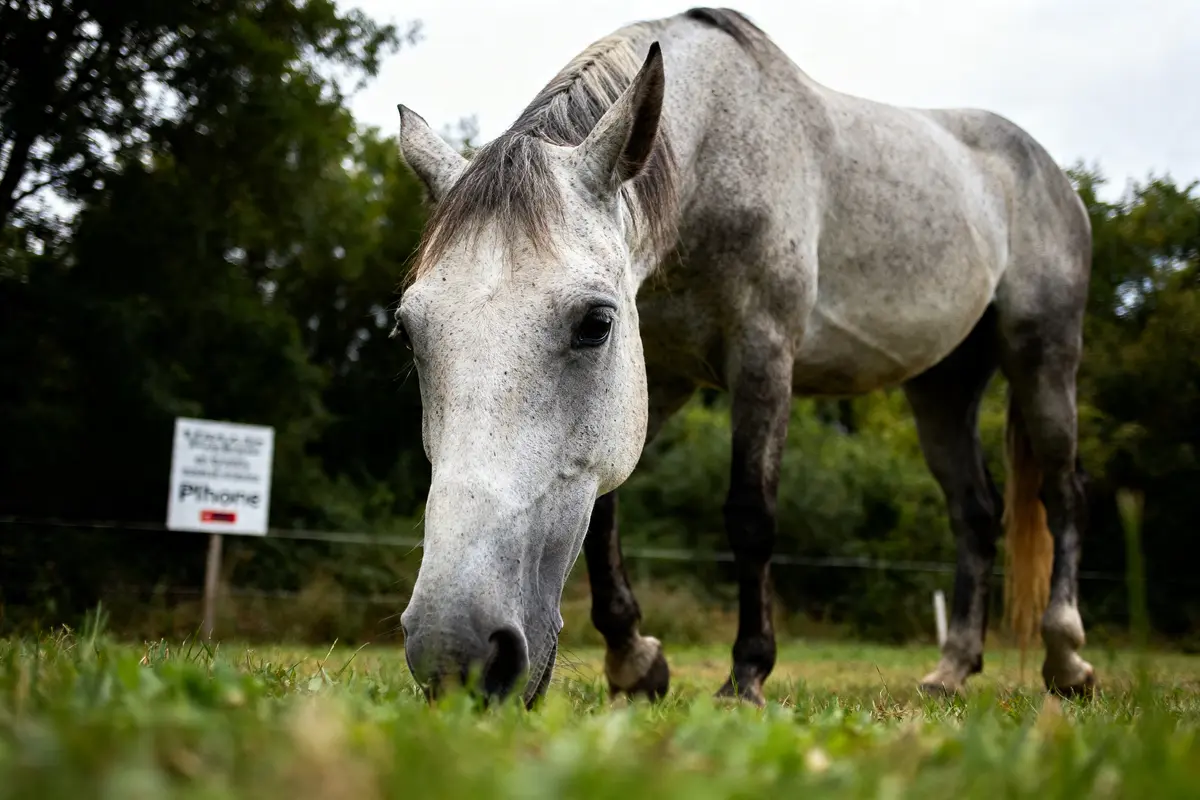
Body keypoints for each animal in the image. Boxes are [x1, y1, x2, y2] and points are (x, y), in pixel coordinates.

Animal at [391, 7, 1094, 707]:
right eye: (408, 331)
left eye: (595, 324)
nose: (455, 654)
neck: (715, 158)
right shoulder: (661, 376)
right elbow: (604, 512)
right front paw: (635, 660)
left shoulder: (763, 355)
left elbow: (750, 514)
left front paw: (747, 673)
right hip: (943, 385)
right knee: (975, 514)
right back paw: (952, 669)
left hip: (1044, 356)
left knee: (1061, 492)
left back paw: (1066, 660)